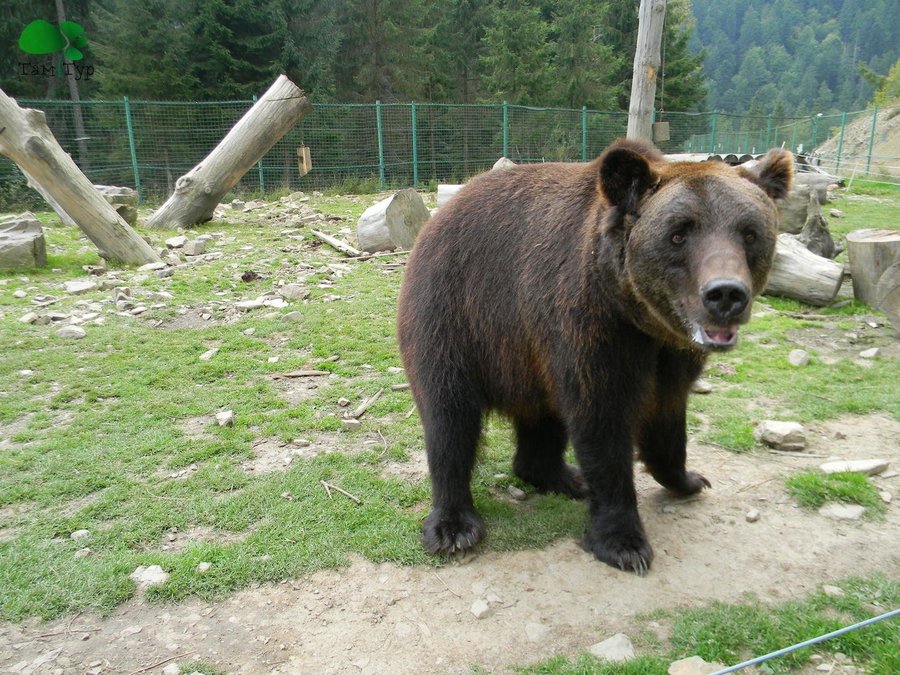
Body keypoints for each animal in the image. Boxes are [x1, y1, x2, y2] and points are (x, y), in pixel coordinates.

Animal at [398, 139, 792, 576]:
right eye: (678, 233)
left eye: (750, 233)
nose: (725, 294)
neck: (639, 317)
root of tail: (441, 215)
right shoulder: (593, 328)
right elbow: (603, 423)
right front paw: (624, 542)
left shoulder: (670, 355)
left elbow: (667, 417)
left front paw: (688, 479)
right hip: (456, 313)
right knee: (450, 416)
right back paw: (454, 526)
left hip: (527, 351)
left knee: (543, 415)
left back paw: (561, 476)